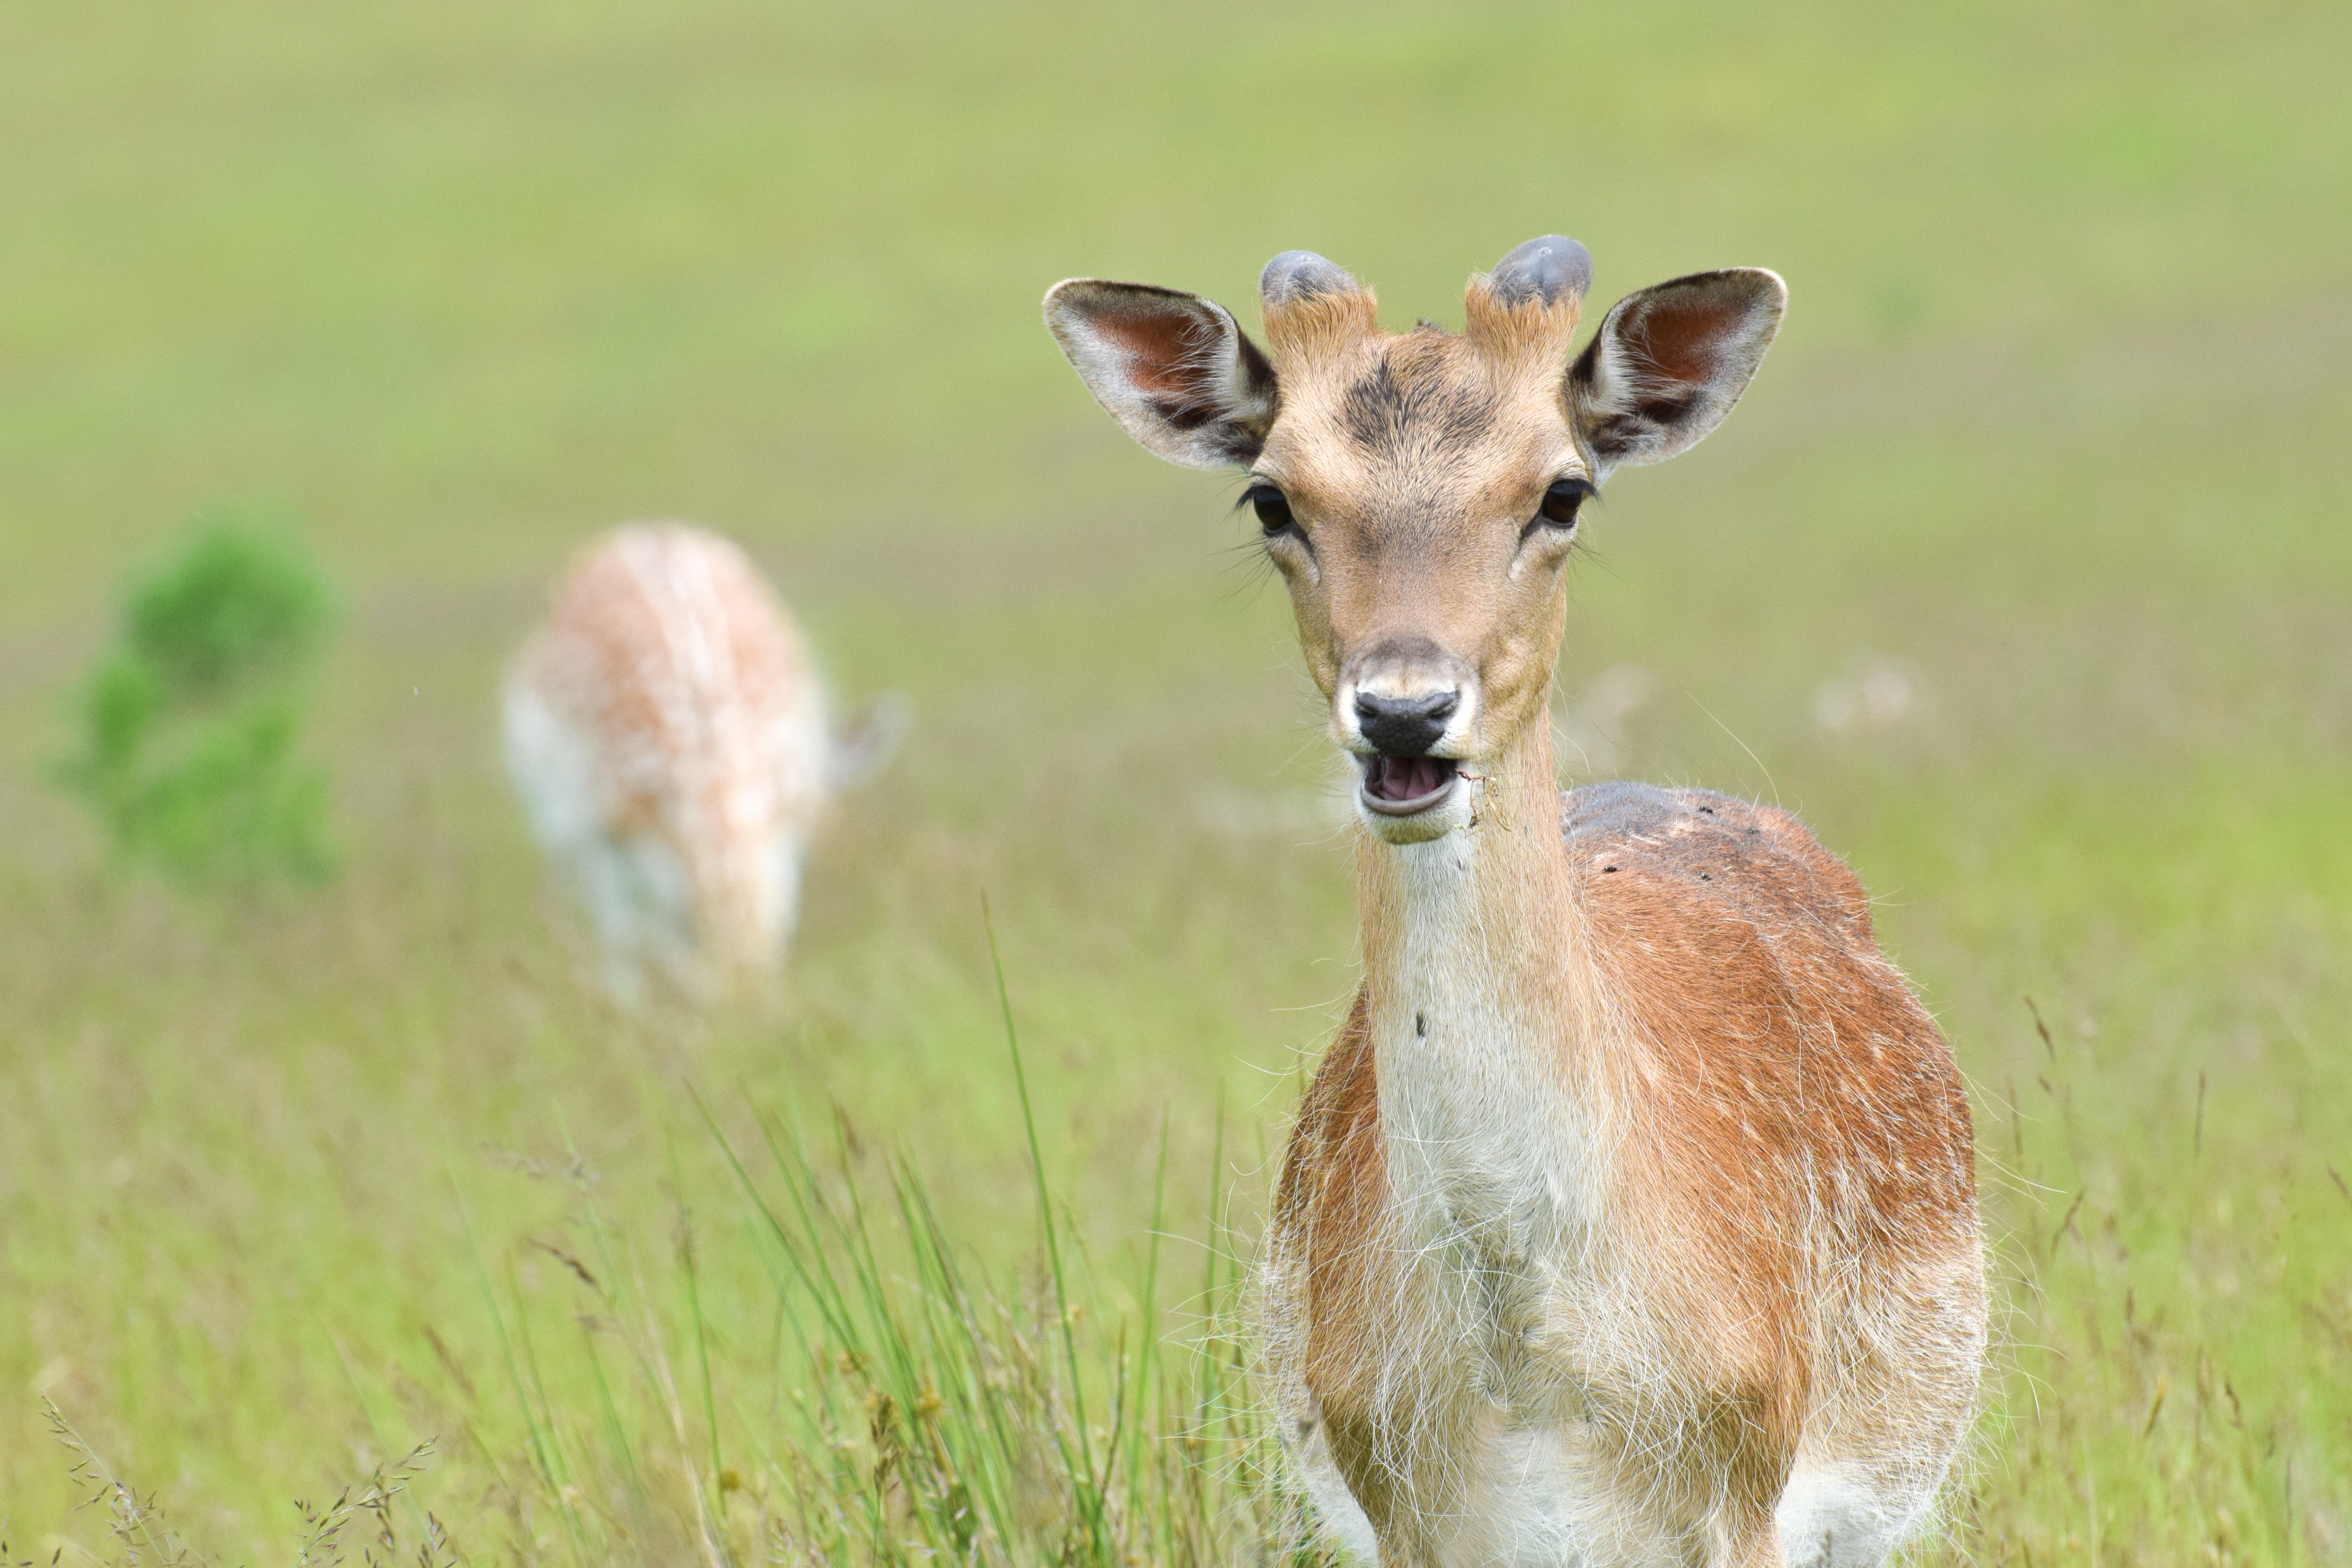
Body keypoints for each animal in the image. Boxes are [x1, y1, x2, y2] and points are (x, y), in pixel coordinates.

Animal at [1045, 238, 1985, 1566]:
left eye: (1562, 492)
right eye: (1270, 498)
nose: (1402, 710)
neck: (1528, 1369)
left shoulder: (1744, 1482)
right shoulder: (1398, 1507)